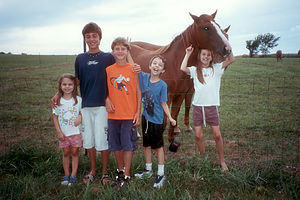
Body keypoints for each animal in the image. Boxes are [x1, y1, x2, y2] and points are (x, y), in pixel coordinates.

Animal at [130, 10, 231, 143]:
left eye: (218, 26)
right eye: (206, 28)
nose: (227, 49)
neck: (174, 63)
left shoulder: (181, 94)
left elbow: (174, 116)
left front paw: (171, 139)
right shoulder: (167, 97)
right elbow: (164, 121)